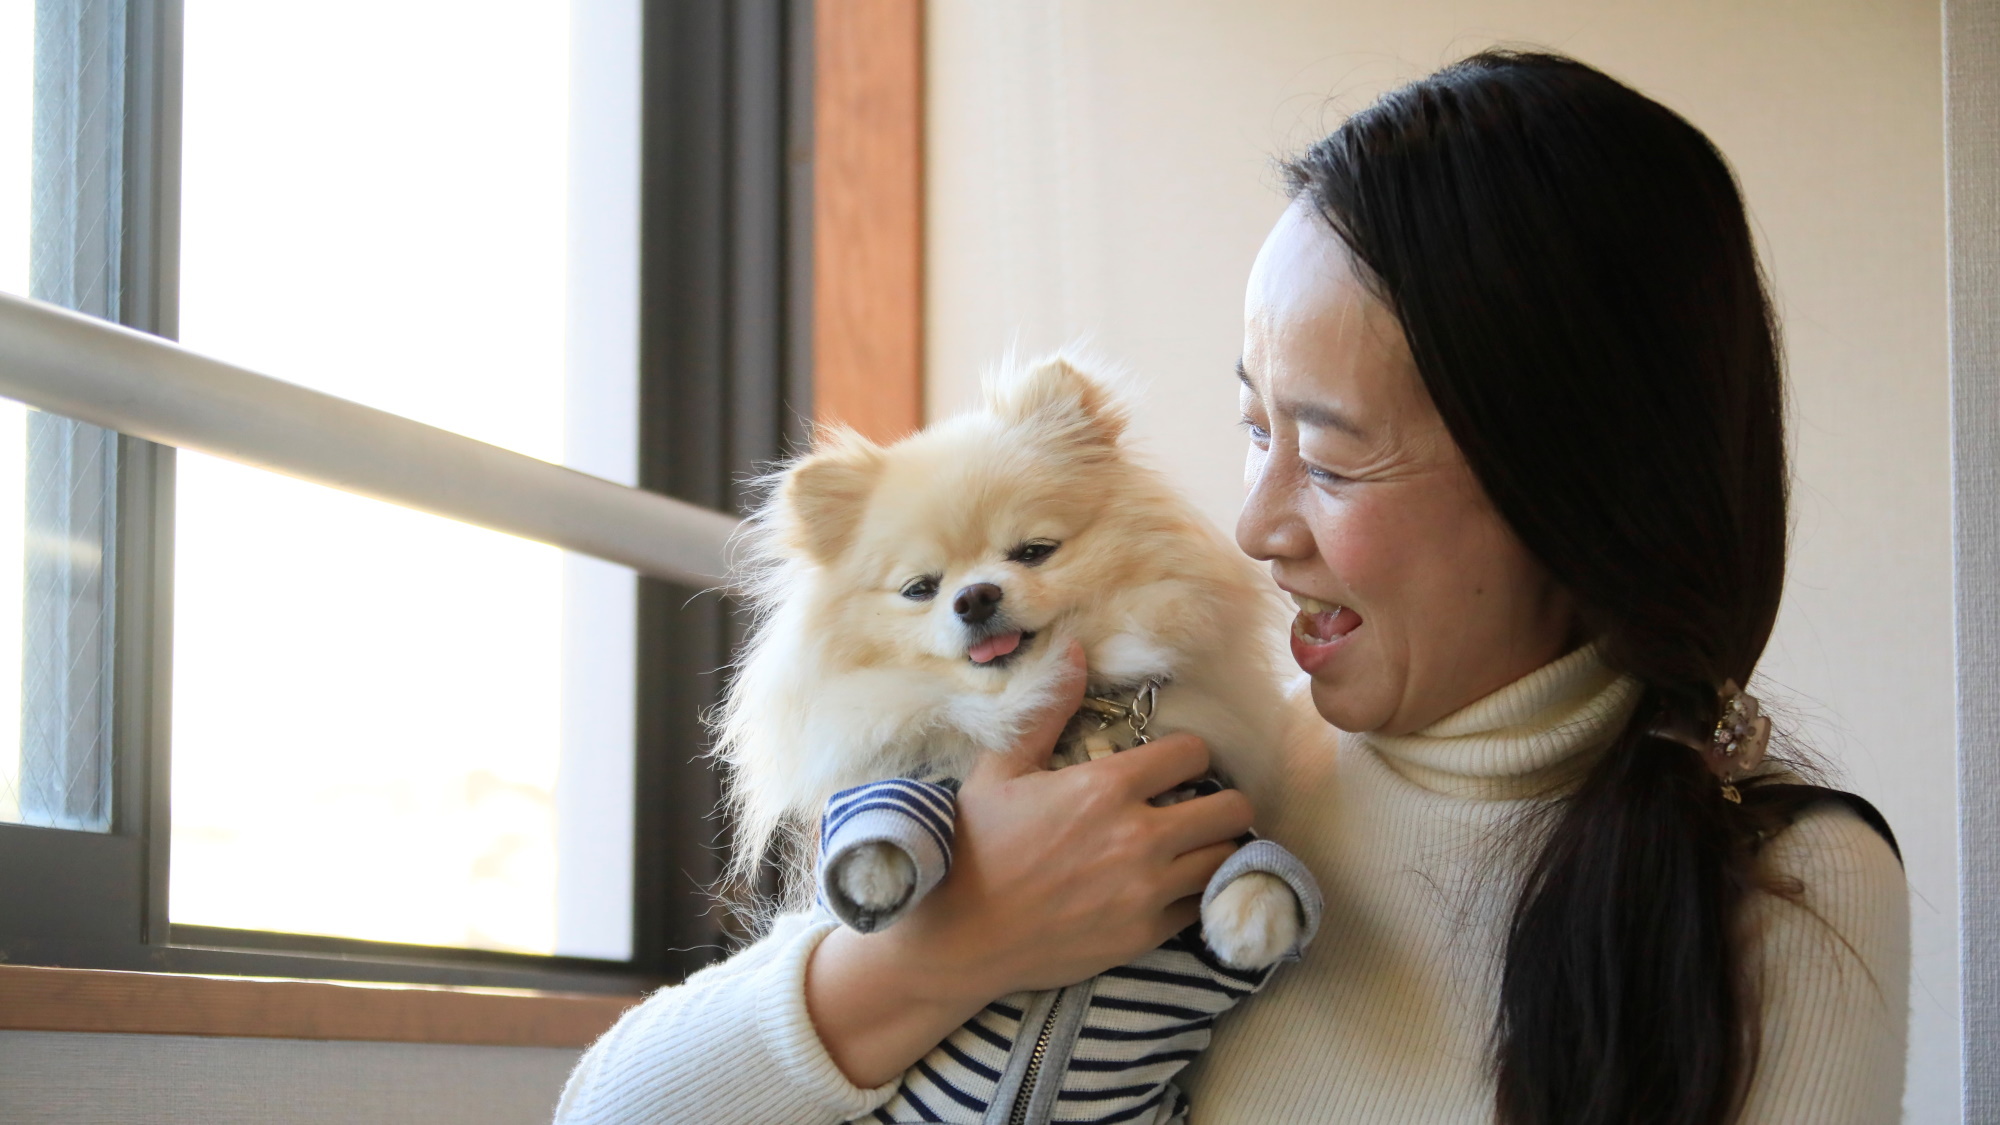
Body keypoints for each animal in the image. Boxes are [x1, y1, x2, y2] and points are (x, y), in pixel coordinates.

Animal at [716, 352, 1312, 1120]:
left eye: (1033, 550)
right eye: (921, 588)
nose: (975, 596)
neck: (1051, 714)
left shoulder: (1197, 786)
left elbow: (1249, 849)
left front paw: (1256, 913)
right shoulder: (911, 764)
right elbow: (887, 803)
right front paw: (873, 871)